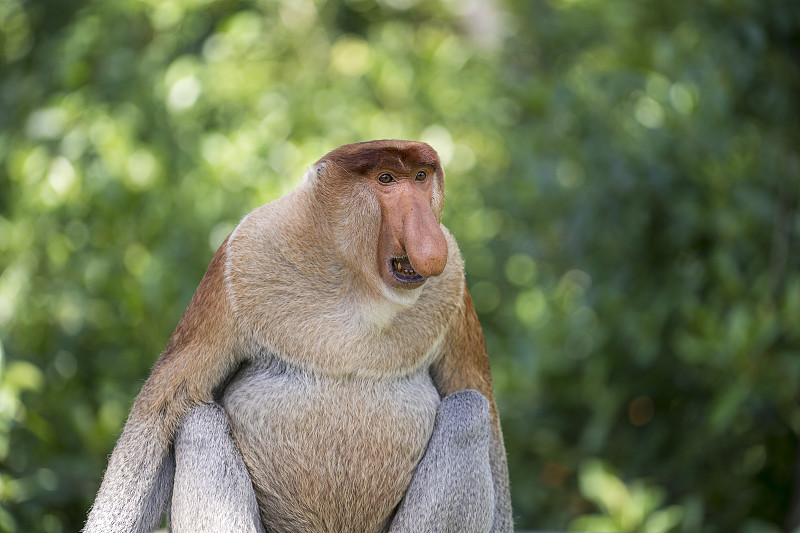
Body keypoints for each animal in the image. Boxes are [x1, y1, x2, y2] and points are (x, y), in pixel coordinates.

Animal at [84, 139, 512, 528]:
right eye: (386, 179)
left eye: (421, 177)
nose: (428, 241)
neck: (355, 283)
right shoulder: (239, 261)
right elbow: (164, 406)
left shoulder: (453, 283)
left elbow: (480, 404)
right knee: (198, 421)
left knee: (469, 410)